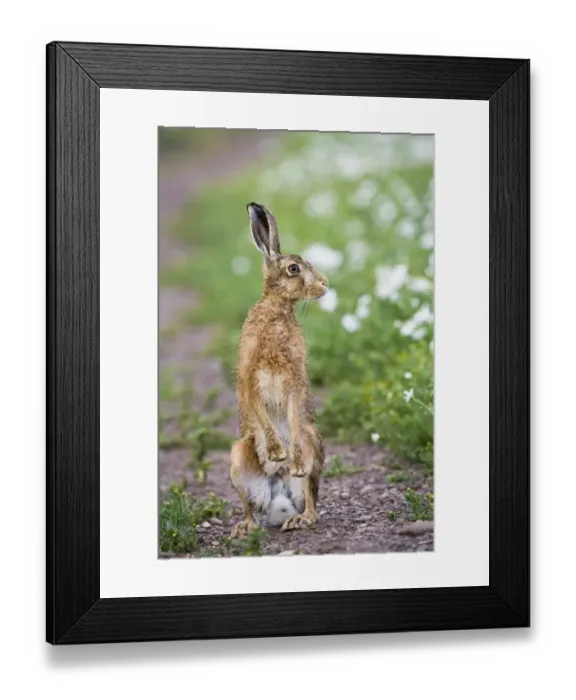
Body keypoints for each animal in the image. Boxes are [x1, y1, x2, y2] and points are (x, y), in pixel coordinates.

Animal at [230, 202, 329, 538]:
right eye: (294, 269)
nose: (325, 284)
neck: (277, 310)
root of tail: (278, 501)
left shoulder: (294, 380)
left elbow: (293, 417)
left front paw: (289, 458)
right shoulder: (249, 376)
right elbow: (261, 412)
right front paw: (276, 453)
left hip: (314, 445)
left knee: (311, 500)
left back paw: (298, 516)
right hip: (238, 458)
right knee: (249, 506)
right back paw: (244, 528)